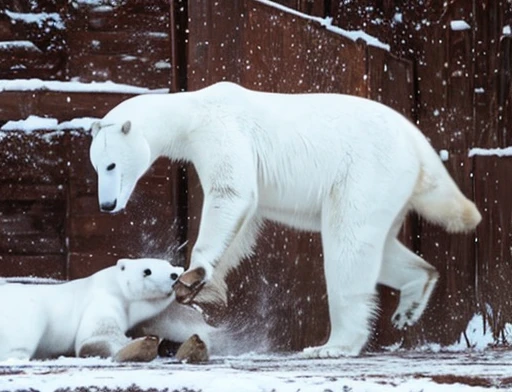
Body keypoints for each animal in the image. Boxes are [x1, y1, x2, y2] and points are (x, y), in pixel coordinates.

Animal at [0, 258, 210, 362]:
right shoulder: (103, 300)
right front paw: (140, 346)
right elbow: (95, 339)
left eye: (170, 266)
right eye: (147, 271)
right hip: (27, 312)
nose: (174, 276)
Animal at [89, 82, 480, 358]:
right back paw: (413, 297)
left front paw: (192, 276)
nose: (107, 204)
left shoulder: (221, 133)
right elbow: (244, 221)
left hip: (365, 171)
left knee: (347, 244)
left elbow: (231, 193)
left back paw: (333, 345)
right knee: (379, 248)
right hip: (389, 187)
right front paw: (208, 290)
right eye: (96, 166)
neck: (193, 112)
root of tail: (418, 143)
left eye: (111, 165)